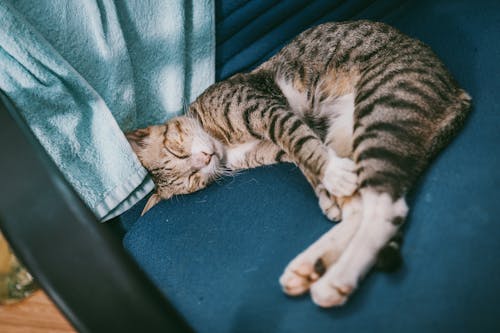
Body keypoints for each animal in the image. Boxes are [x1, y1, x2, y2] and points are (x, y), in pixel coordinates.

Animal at [127, 20, 470, 306]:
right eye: (193, 180)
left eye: (176, 151)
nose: (205, 159)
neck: (224, 146)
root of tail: (458, 91)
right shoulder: (270, 149)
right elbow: (302, 153)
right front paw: (327, 191)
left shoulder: (264, 107)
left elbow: (296, 138)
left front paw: (331, 176)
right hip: (346, 132)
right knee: (361, 206)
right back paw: (311, 265)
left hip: (381, 109)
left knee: (385, 209)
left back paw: (334, 280)